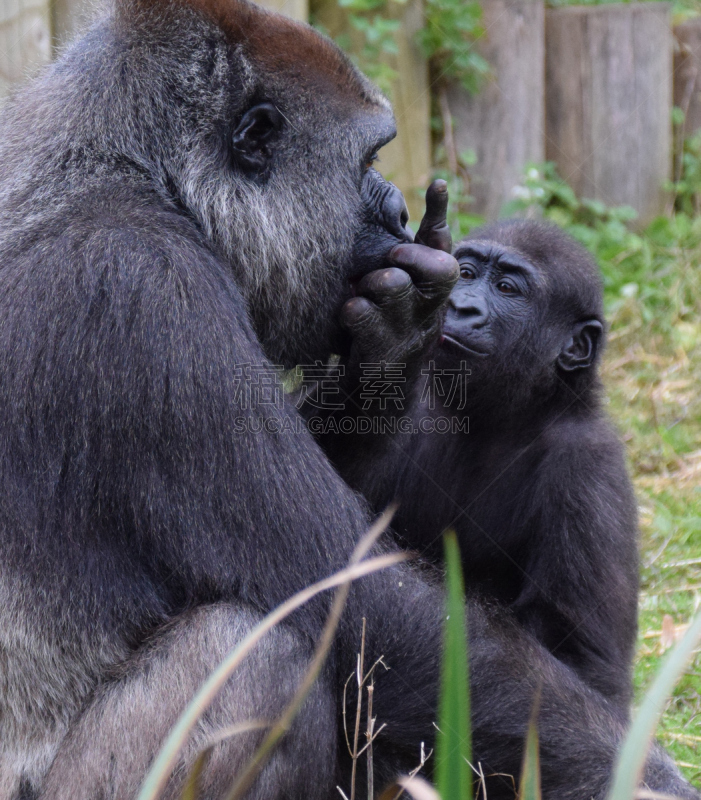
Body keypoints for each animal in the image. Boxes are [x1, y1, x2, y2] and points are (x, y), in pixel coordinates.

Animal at [314, 217, 636, 708]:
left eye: (506, 288)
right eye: (465, 274)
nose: (461, 307)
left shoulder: (589, 472)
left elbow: (581, 663)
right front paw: (391, 344)